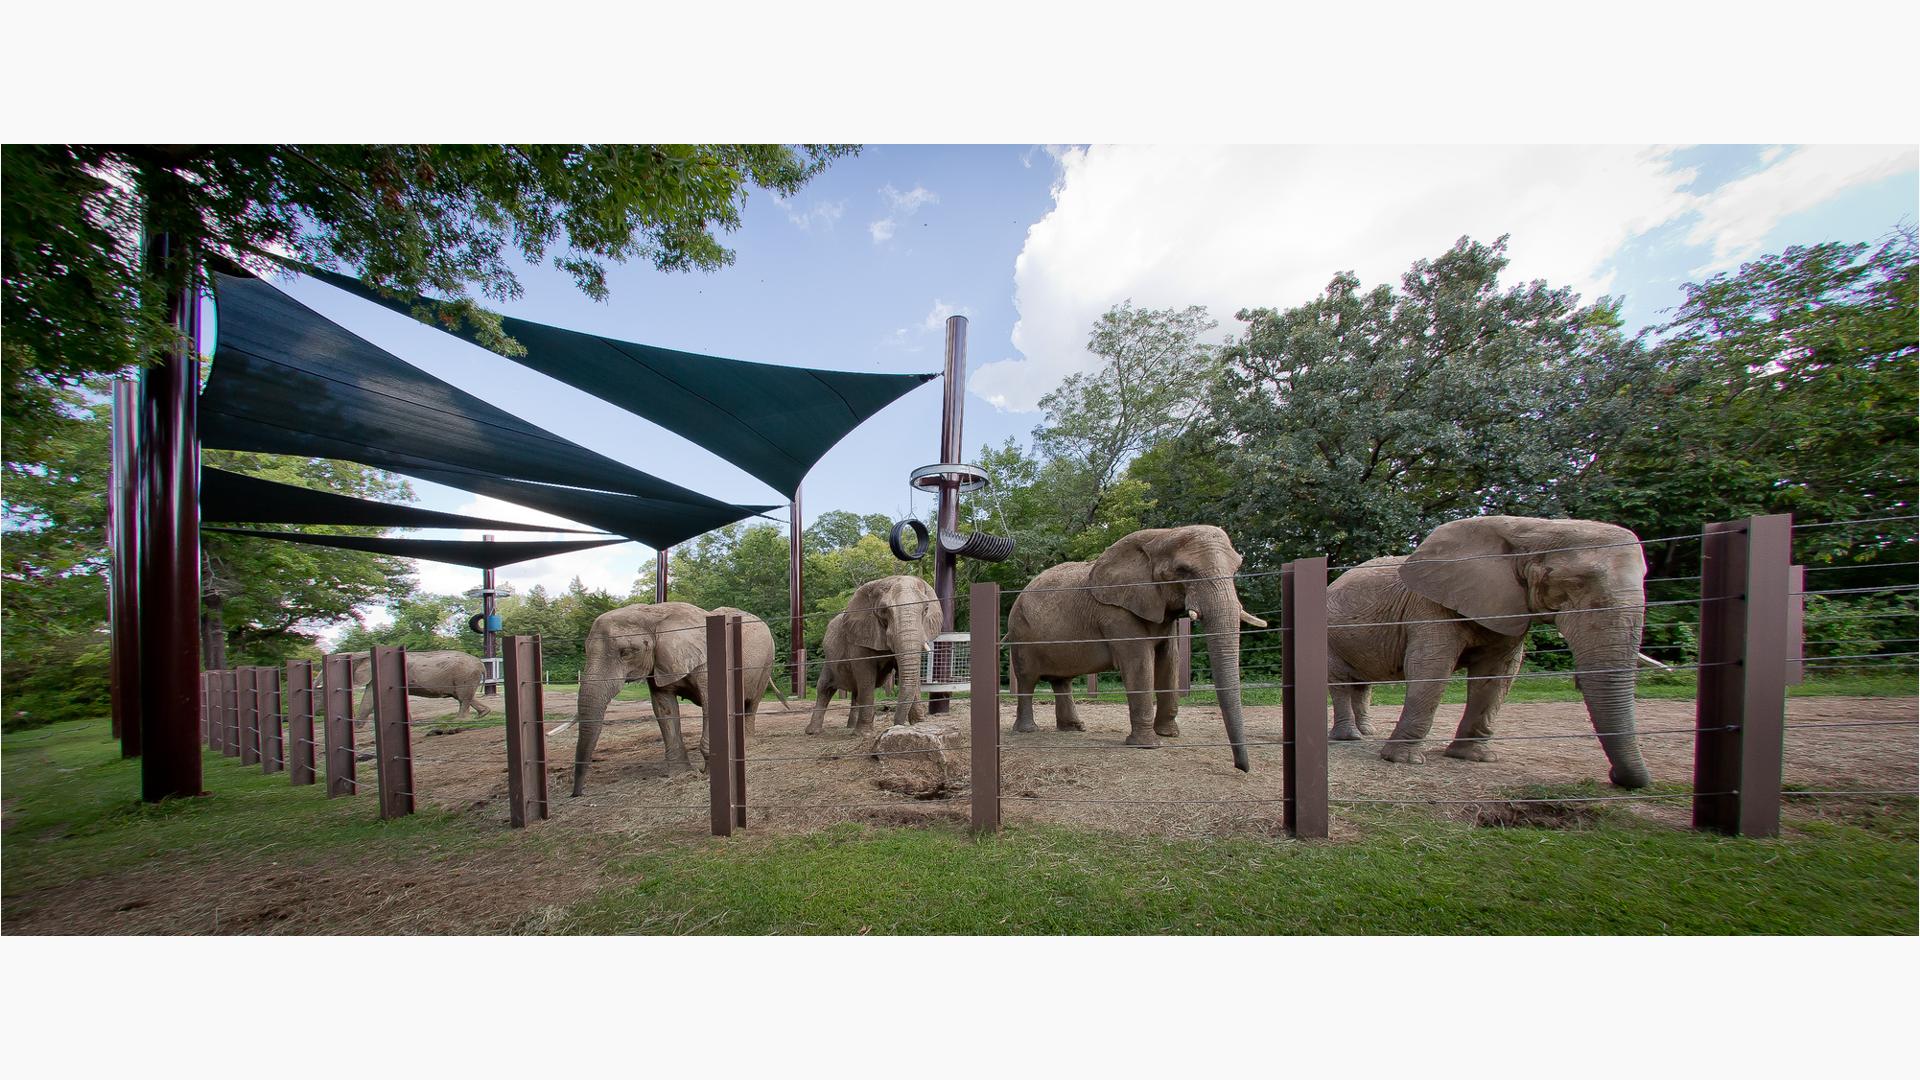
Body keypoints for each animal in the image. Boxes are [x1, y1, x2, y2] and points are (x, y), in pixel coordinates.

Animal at [349, 645, 491, 722]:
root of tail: (481, 664)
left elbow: (369, 698)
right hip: (465, 677)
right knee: (463, 697)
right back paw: (482, 714)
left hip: (464, 676)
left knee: (463, 697)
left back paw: (460, 720)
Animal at [568, 599, 787, 795]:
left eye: (627, 652)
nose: (576, 794)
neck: (653, 614)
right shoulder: (659, 664)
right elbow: (664, 707)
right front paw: (681, 774)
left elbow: (711, 702)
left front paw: (709, 774)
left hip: (766, 663)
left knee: (752, 704)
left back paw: (747, 745)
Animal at [802, 576, 936, 734]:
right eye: (884, 611)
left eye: (926, 609)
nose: (896, 725)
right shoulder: (859, 636)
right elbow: (866, 676)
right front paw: (863, 733)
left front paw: (919, 724)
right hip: (829, 660)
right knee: (824, 688)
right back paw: (813, 731)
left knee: (855, 692)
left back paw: (850, 727)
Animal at [998, 526, 1267, 768]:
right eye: (1183, 570)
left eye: (1236, 569)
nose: (1241, 767)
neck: (1162, 535)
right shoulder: (1116, 613)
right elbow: (1139, 662)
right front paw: (1148, 745)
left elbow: (1169, 661)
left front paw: (1169, 735)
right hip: (1022, 634)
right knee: (1028, 679)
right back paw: (1028, 731)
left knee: (1061, 680)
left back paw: (1074, 729)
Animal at [1328, 511, 1658, 780]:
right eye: (1573, 584)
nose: (1615, 777)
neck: (1534, 529)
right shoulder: (1429, 607)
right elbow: (1429, 667)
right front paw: (1402, 760)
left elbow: (1498, 673)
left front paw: (1473, 758)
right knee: (1342, 682)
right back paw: (1350, 738)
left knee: (1362, 684)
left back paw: (1366, 732)